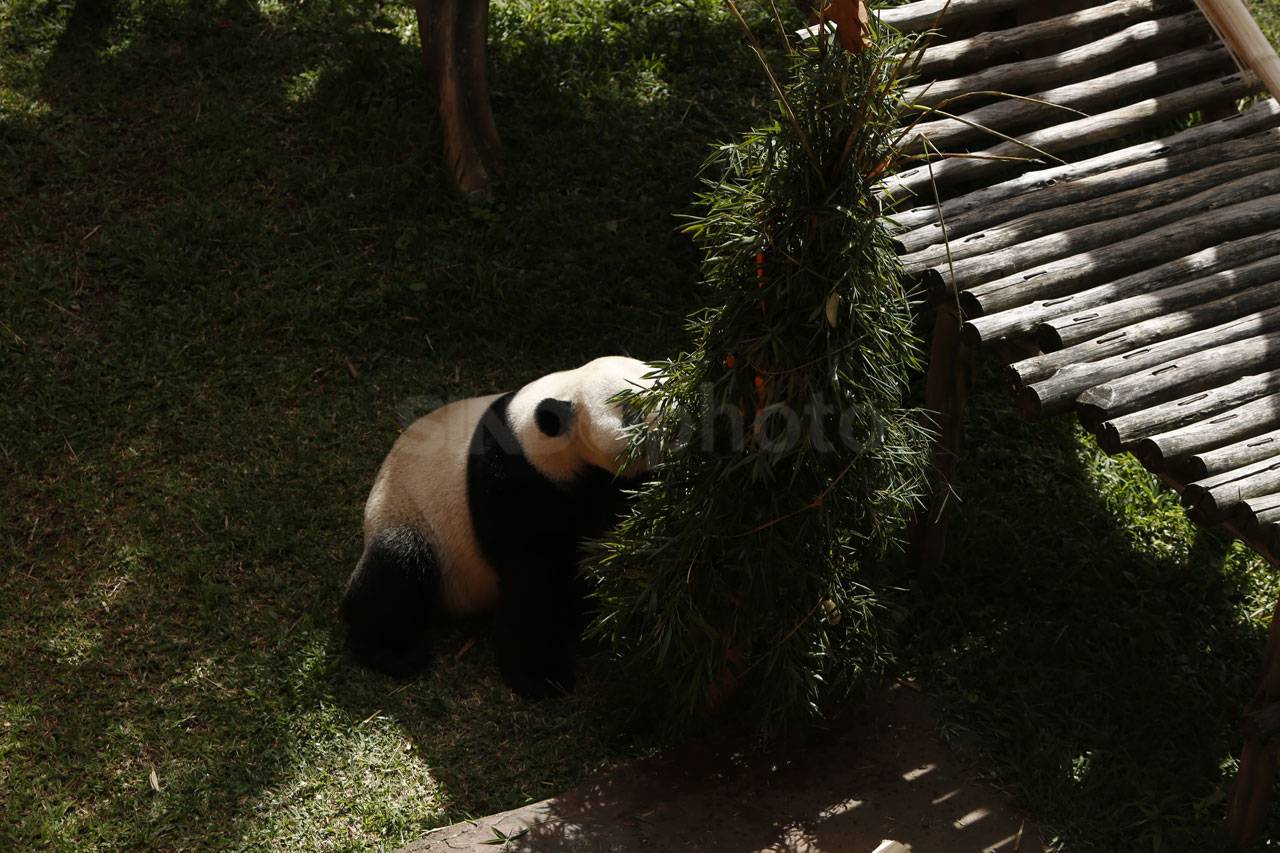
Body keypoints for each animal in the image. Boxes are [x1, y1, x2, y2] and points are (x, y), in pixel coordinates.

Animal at [340, 356, 654, 699]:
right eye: (632, 412)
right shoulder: (511, 479)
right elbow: (532, 578)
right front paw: (541, 678)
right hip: (409, 515)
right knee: (396, 573)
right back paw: (390, 652)